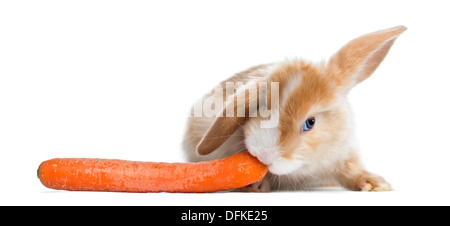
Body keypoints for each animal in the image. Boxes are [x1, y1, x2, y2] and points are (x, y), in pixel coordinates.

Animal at [181, 25, 406, 192]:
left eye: (310, 123)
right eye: (261, 106)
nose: (264, 155)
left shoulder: (341, 156)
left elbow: (351, 171)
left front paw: (374, 183)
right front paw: (254, 185)